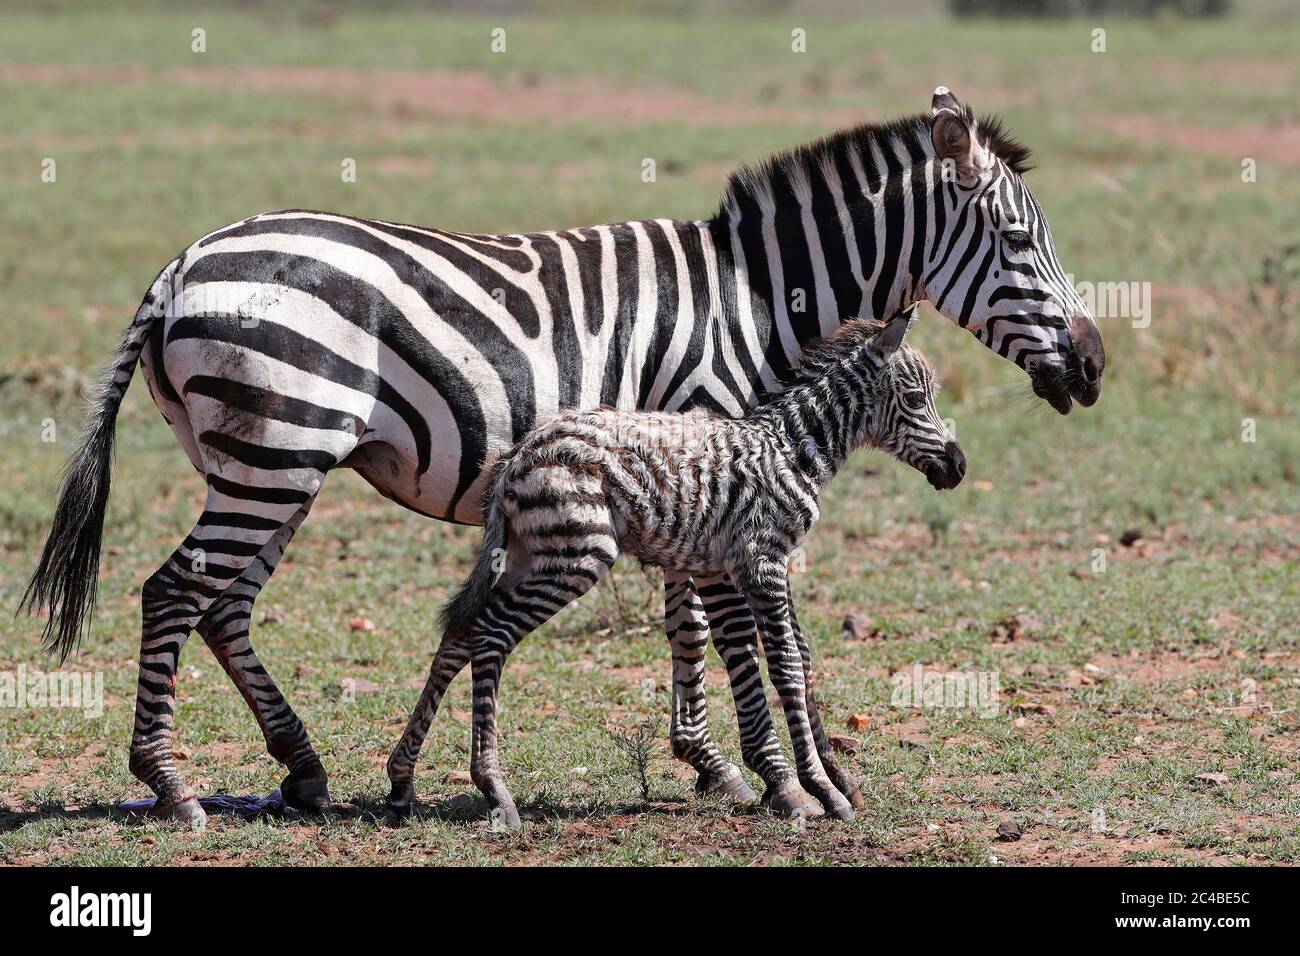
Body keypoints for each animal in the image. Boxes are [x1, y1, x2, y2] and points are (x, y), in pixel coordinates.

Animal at [384, 304, 967, 822]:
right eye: (916, 397)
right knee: (491, 635)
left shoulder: (734, 566)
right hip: (577, 555)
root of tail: (520, 454)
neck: (792, 450)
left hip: (529, 554)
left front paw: (815, 781)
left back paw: (402, 782)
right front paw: (818, 791)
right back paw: (494, 791)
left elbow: (786, 658)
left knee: (462, 632)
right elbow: (785, 667)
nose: (959, 468)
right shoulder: (763, 561)